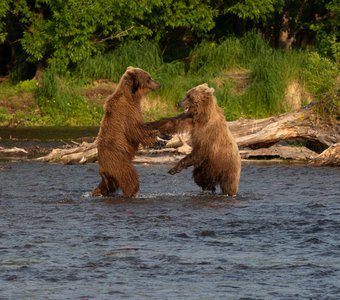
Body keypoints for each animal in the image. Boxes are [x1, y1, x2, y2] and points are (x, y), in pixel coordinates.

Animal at [92, 66, 161, 197]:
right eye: (149, 78)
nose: (159, 84)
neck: (131, 96)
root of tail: (103, 169)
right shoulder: (127, 111)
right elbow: (135, 130)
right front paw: (156, 139)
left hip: (110, 175)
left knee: (106, 186)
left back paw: (96, 192)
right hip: (119, 163)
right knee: (129, 178)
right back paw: (133, 192)